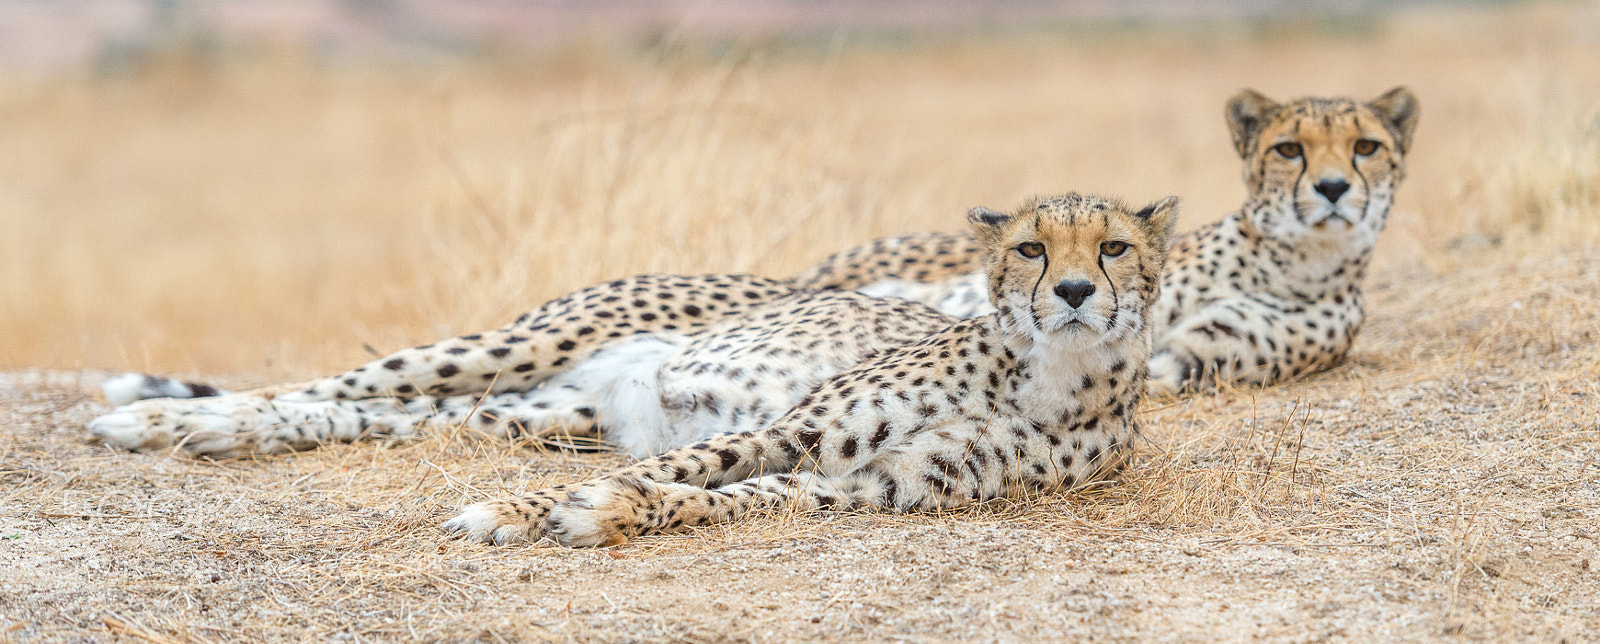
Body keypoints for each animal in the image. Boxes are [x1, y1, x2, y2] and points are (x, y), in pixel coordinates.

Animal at [439, 192, 1177, 546]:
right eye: (1031, 249)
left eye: (1113, 248)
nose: (1074, 291)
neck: (1045, 372)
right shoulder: (791, 431)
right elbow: (665, 467)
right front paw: (514, 509)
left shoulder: (873, 487)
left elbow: (732, 497)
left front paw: (612, 513)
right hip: (517, 347)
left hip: (544, 410)